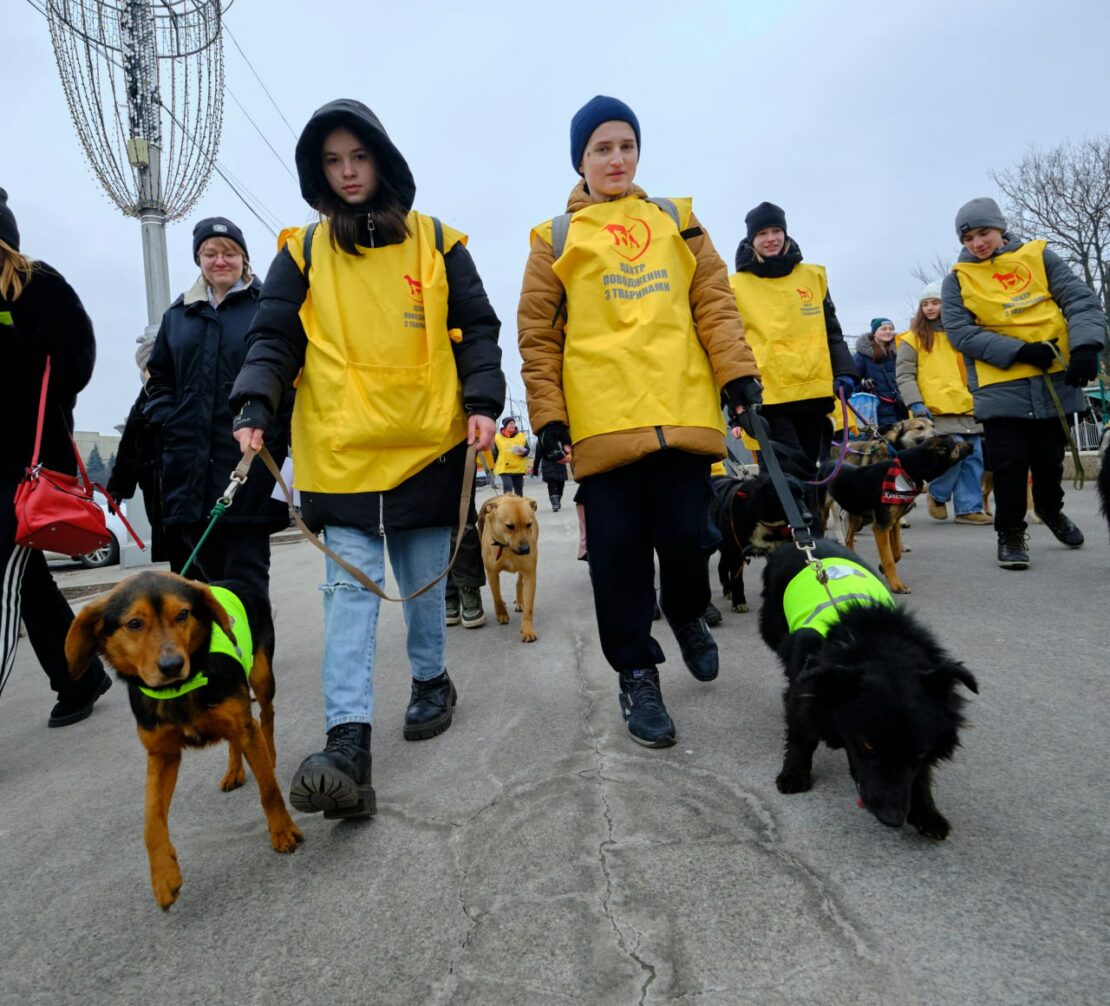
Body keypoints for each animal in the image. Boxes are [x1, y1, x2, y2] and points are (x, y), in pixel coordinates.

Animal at [68, 568, 304, 906]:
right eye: (134, 624)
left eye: (182, 614)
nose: (171, 666)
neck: (178, 690)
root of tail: (233, 580)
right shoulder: (161, 754)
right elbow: (151, 821)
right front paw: (164, 876)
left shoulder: (245, 726)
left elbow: (269, 789)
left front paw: (283, 831)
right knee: (234, 739)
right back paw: (234, 771)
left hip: (260, 676)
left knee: (266, 716)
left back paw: (268, 754)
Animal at [479, 493, 539, 644]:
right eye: (509, 526)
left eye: (529, 524)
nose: (525, 549)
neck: (506, 547)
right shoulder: (492, 573)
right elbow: (497, 596)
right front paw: (502, 614)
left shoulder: (530, 574)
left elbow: (529, 608)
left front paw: (527, 629)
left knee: (519, 583)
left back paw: (520, 602)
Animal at [759, 537, 976, 835]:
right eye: (869, 745)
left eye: (920, 751)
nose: (892, 818)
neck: (878, 646)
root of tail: (803, 540)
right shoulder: (805, 683)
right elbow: (801, 730)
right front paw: (794, 773)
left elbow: (923, 771)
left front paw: (927, 812)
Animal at [825, 435, 972, 590]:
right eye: (955, 443)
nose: (972, 444)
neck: (906, 470)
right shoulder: (881, 526)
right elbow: (889, 558)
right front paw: (896, 585)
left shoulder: (893, 522)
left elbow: (895, 553)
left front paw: (882, 567)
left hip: (856, 513)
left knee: (849, 539)